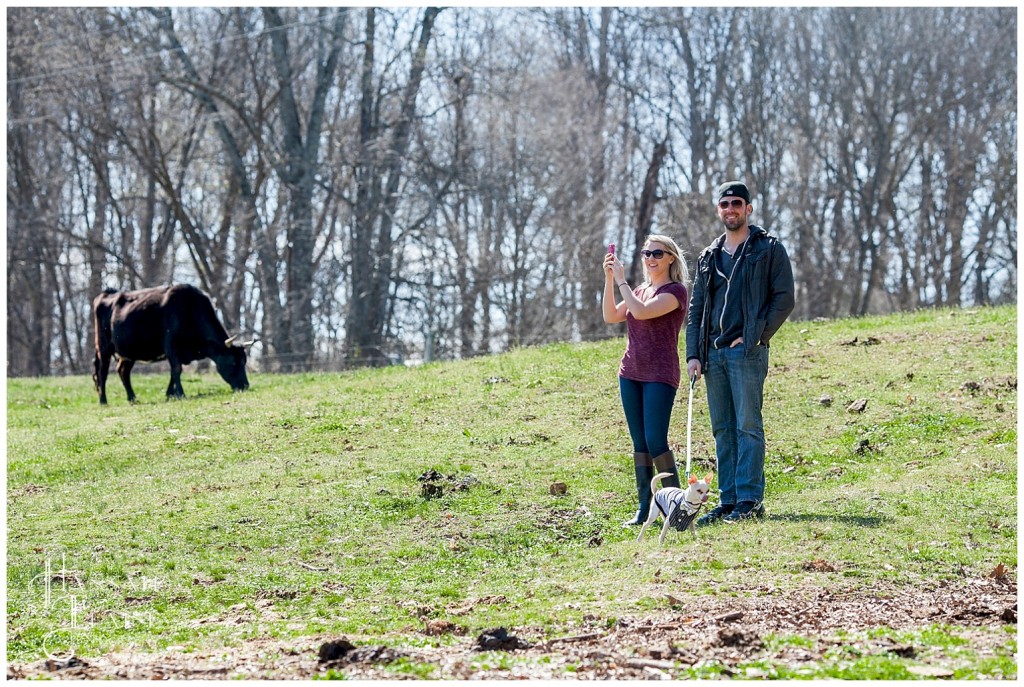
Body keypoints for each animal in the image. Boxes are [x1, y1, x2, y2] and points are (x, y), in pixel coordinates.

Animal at [92, 282, 251, 403]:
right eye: (233, 362)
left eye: (244, 362)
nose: (245, 385)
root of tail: (107, 294)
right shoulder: (171, 347)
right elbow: (176, 370)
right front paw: (180, 394)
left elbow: (173, 374)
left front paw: (170, 394)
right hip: (103, 347)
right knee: (102, 372)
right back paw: (103, 400)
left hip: (128, 352)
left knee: (123, 371)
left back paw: (132, 398)